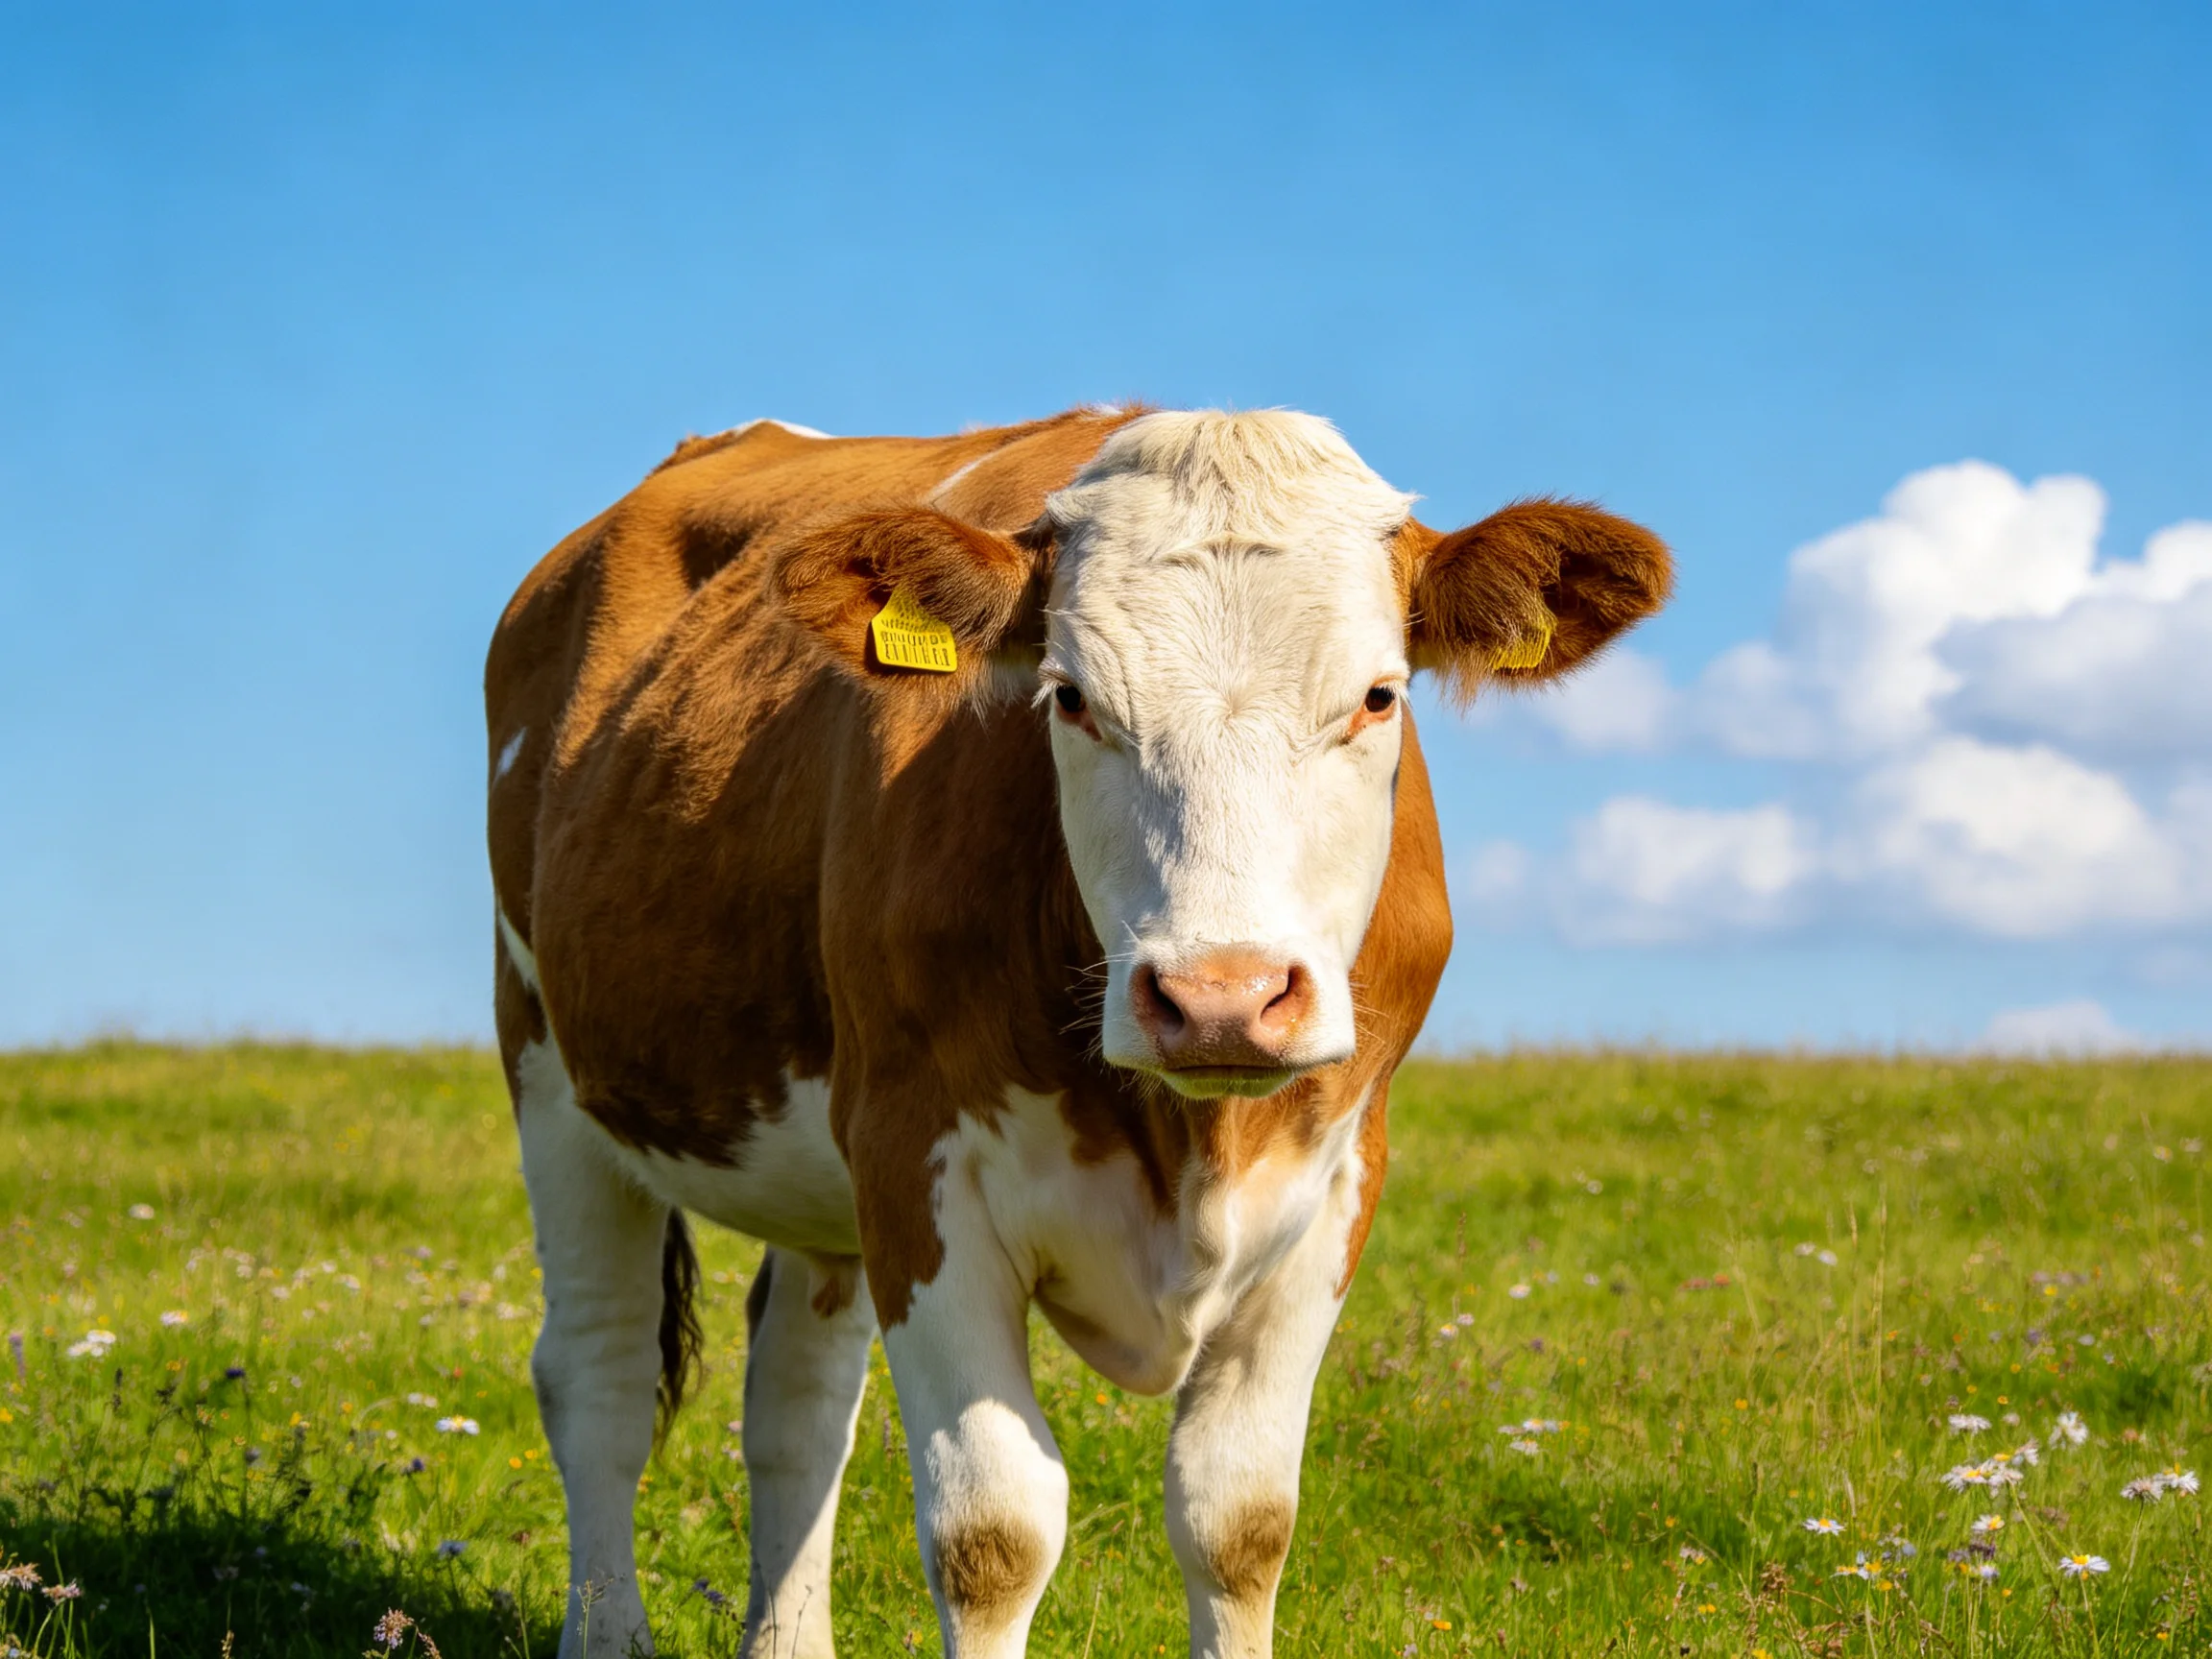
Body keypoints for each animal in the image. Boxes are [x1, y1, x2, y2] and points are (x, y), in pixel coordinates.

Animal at [485, 406, 1670, 1659]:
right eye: (1070, 697)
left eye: (1378, 696)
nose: (1221, 997)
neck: (1189, 1143)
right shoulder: (916, 1161)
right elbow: (994, 1531)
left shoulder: (1338, 1181)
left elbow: (1239, 1517)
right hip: (549, 1065)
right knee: (600, 1377)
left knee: (796, 1404)